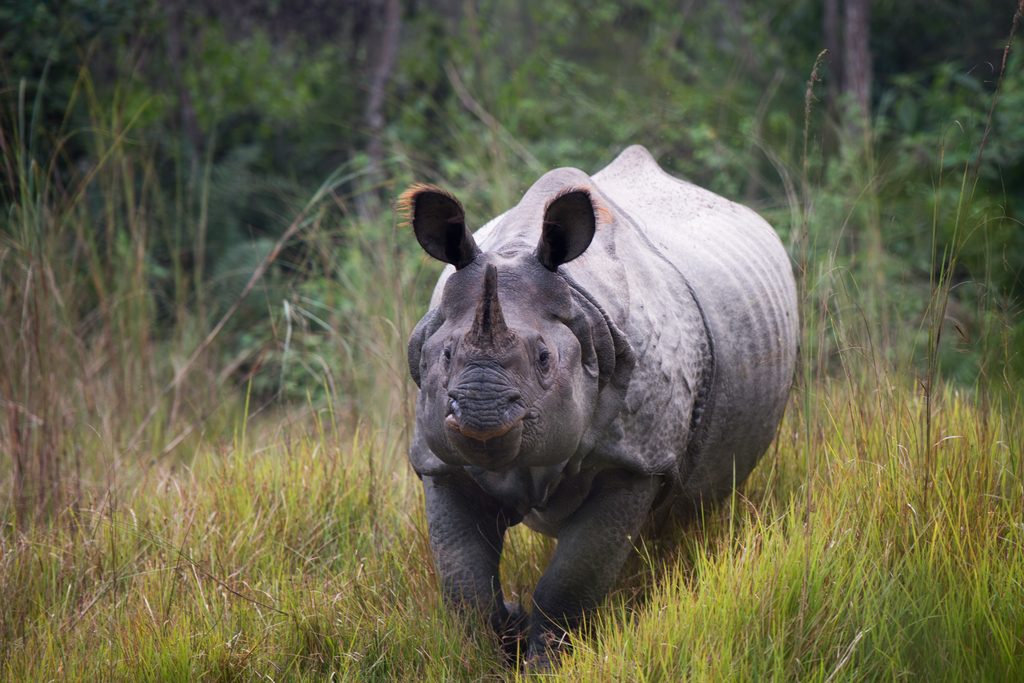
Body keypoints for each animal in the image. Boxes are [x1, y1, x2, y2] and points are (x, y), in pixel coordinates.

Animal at [401, 145, 798, 665]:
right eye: (445, 356)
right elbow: (465, 585)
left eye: (545, 359)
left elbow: (571, 582)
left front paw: (544, 662)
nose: (479, 413)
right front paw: (500, 638)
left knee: (692, 507)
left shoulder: (634, 460)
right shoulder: (440, 462)